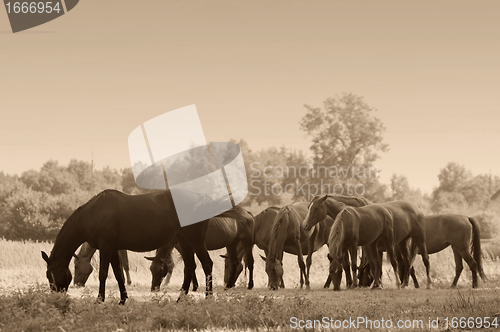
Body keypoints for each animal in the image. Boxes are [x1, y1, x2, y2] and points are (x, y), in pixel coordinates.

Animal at [41, 187, 217, 304]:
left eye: (50, 274)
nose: (55, 297)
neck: (93, 214)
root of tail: (203, 199)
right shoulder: (113, 249)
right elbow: (118, 273)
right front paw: (123, 299)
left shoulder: (105, 247)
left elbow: (103, 274)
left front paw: (99, 299)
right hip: (184, 240)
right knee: (190, 267)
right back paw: (180, 299)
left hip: (195, 240)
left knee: (207, 264)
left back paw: (208, 297)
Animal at [358, 215, 486, 288]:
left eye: (362, 273)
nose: (361, 285)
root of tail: (466, 218)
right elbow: (409, 267)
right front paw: (410, 283)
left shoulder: (401, 251)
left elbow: (408, 267)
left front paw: (407, 283)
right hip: (456, 249)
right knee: (459, 267)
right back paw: (453, 285)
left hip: (462, 249)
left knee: (473, 264)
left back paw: (475, 285)